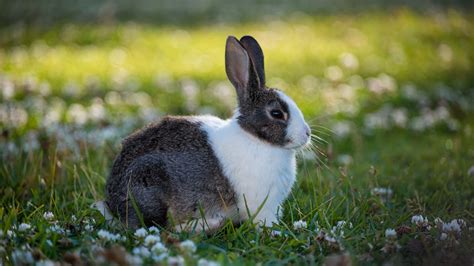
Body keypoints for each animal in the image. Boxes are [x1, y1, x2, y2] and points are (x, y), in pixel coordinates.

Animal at [103, 35, 312, 233]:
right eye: (276, 113)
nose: (307, 133)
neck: (255, 138)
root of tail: (112, 205)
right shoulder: (262, 205)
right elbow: (264, 221)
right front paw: (276, 232)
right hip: (149, 183)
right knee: (159, 226)